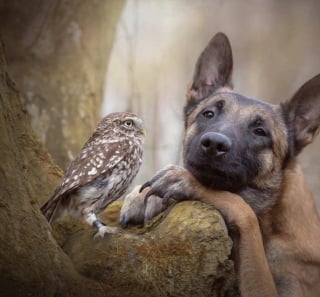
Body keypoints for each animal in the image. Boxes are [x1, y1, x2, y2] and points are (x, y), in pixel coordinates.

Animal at [119, 33, 320, 296]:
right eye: (209, 114)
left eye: (260, 131)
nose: (214, 144)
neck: (273, 214)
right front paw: (141, 197)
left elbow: (240, 207)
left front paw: (184, 180)